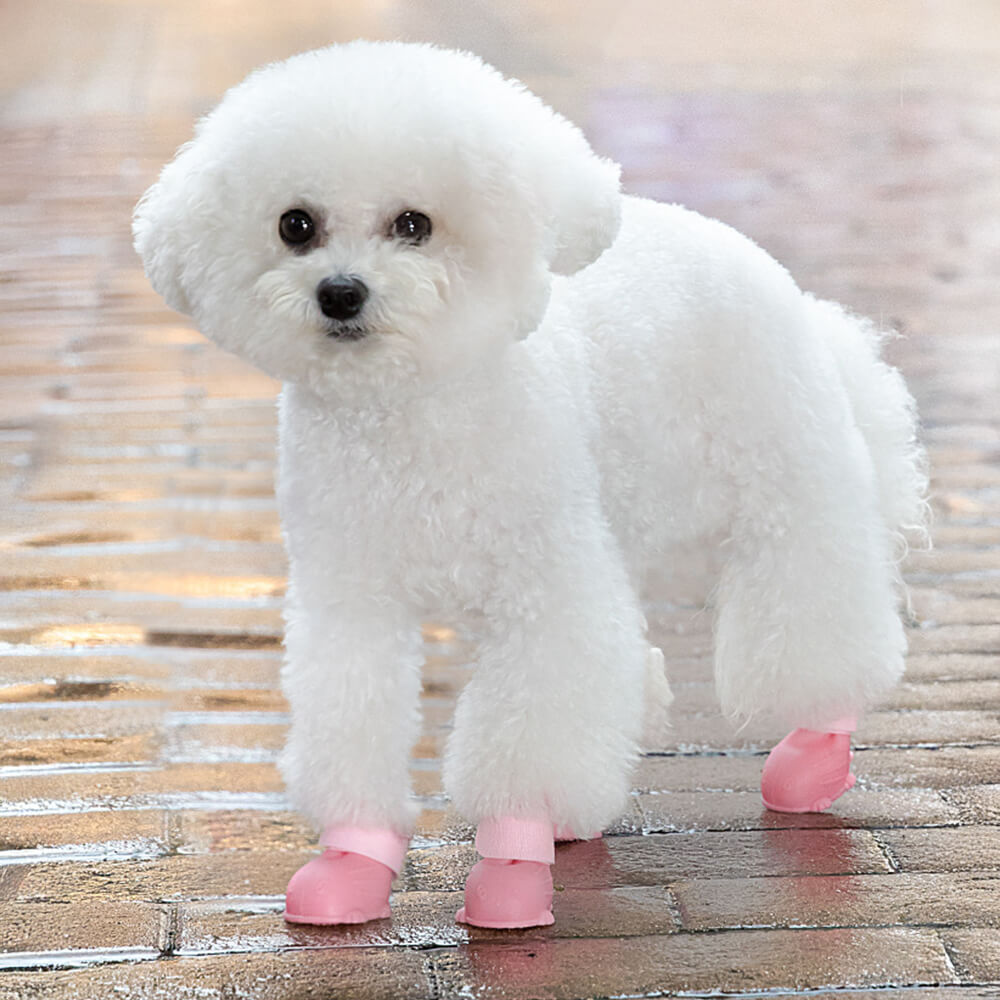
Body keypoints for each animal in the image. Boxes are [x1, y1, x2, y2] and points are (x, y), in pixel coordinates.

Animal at [131, 39, 920, 928]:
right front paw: (352, 862)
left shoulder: (546, 597)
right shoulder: (351, 603)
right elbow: (355, 725)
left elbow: (532, 734)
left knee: (819, 620)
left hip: (791, 484)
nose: (340, 293)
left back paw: (813, 754)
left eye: (415, 224)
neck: (411, 412)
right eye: (295, 224)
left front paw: (513, 864)